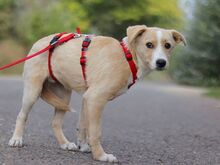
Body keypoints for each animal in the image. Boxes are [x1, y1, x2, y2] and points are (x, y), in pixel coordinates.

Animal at [7, 24, 186, 162]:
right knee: (22, 115)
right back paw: (16, 139)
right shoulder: (96, 98)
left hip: (63, 95)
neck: (127, 56)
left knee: (55, 123)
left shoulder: (87, 98)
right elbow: (95, 132)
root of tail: (39, 42)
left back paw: (65, 143)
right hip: (33, 91)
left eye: (168, 45)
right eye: (149, 45)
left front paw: (84, 145)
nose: (161, 62)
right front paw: (100, 156)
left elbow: (83, 126)